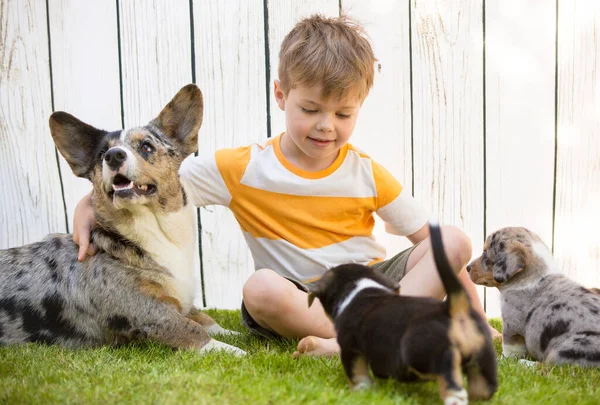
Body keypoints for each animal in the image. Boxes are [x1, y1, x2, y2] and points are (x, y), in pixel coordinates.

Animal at [0, 84, 244, 354]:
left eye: (146, 146)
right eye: (102, 153)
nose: (114, 156)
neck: (153, 231)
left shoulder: (184, 301)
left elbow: (207, 320)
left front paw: (237, 334)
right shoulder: (148, 312)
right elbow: (193, 329)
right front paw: (235, 351)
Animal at [310, 223, 496, 402]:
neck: (359, 288)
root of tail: (453, 309)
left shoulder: (350, 349)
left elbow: (357, 374)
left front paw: (361, 391)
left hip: (430, 355)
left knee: (453, 388)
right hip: (482, 359)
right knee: (483, 389)